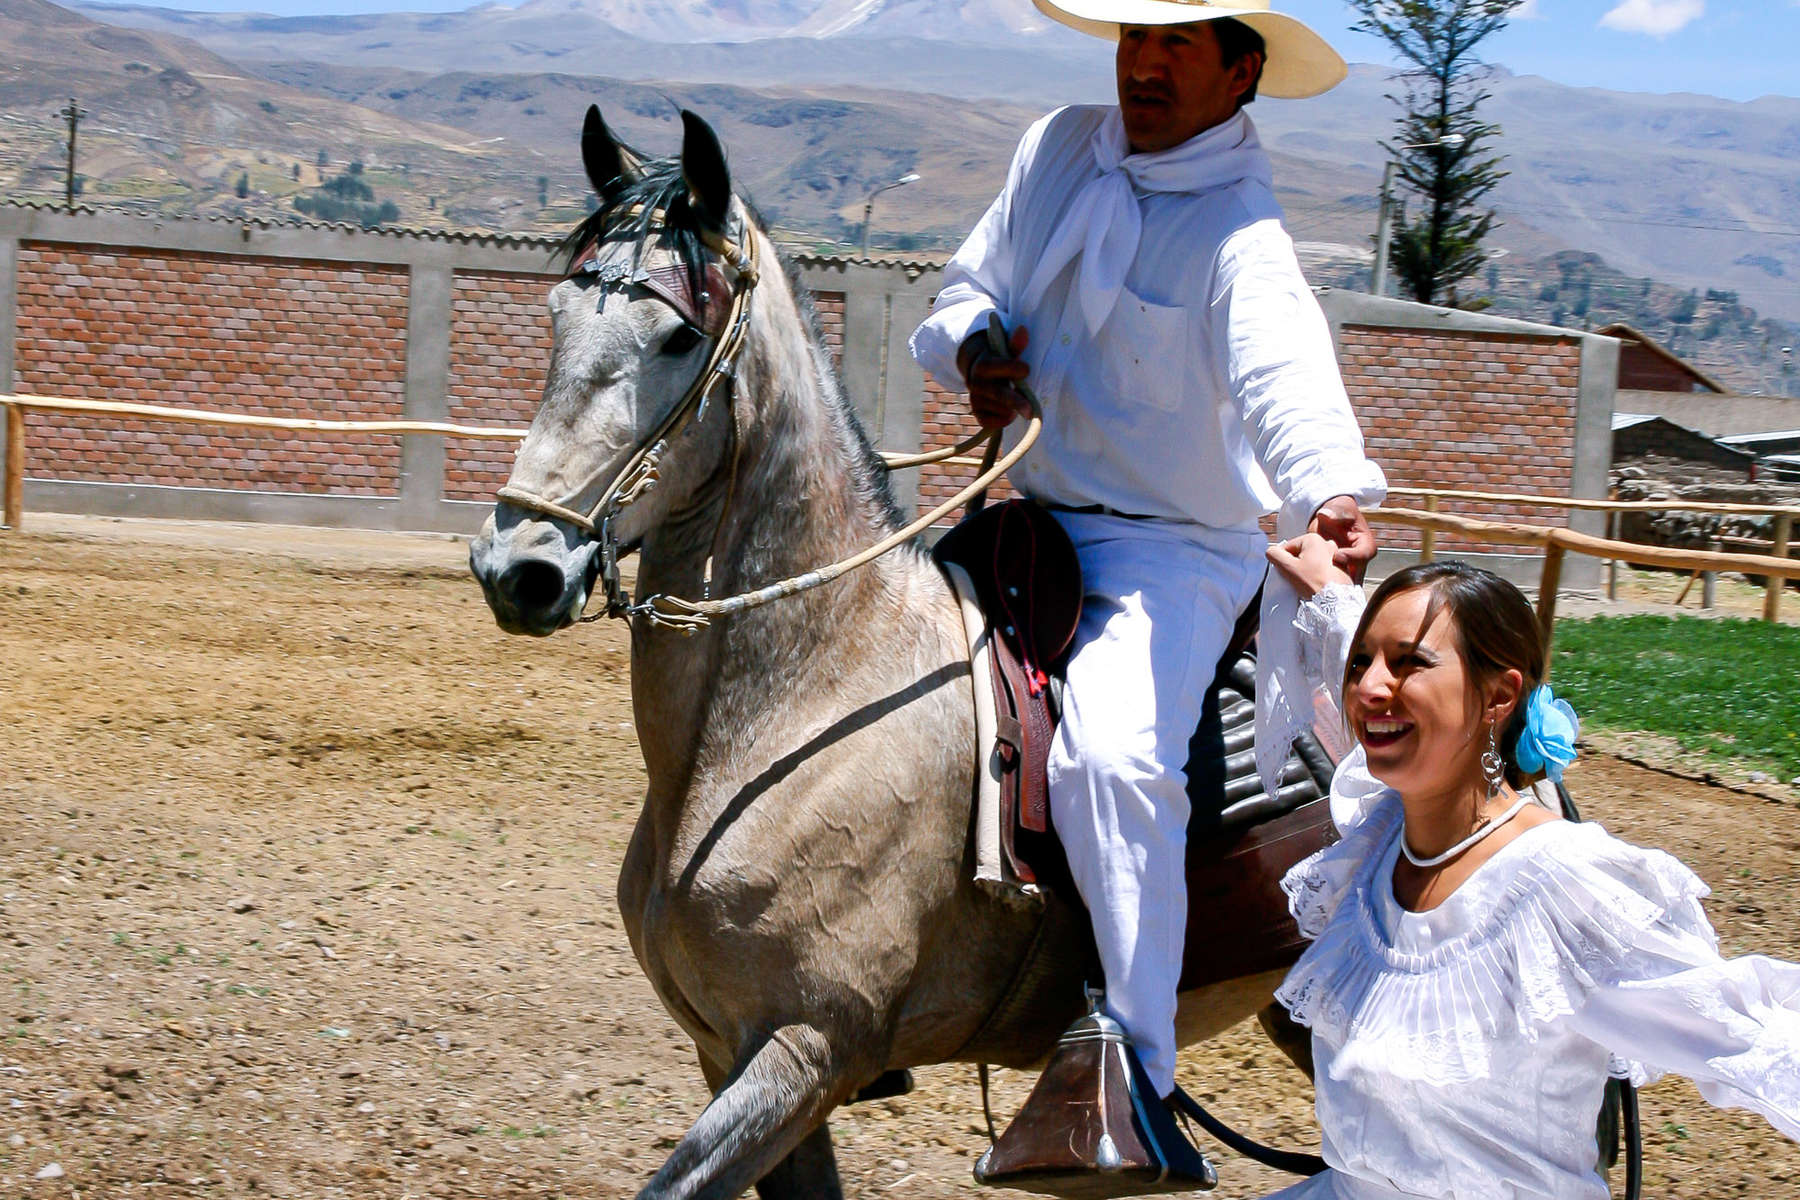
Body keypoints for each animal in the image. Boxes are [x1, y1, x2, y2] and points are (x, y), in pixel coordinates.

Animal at [471, 107, 1296, 1194]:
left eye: (680, 334)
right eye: (560, 315)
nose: (518, 565)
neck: (811, 696)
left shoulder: (809, 1049)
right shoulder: (738, 1057)